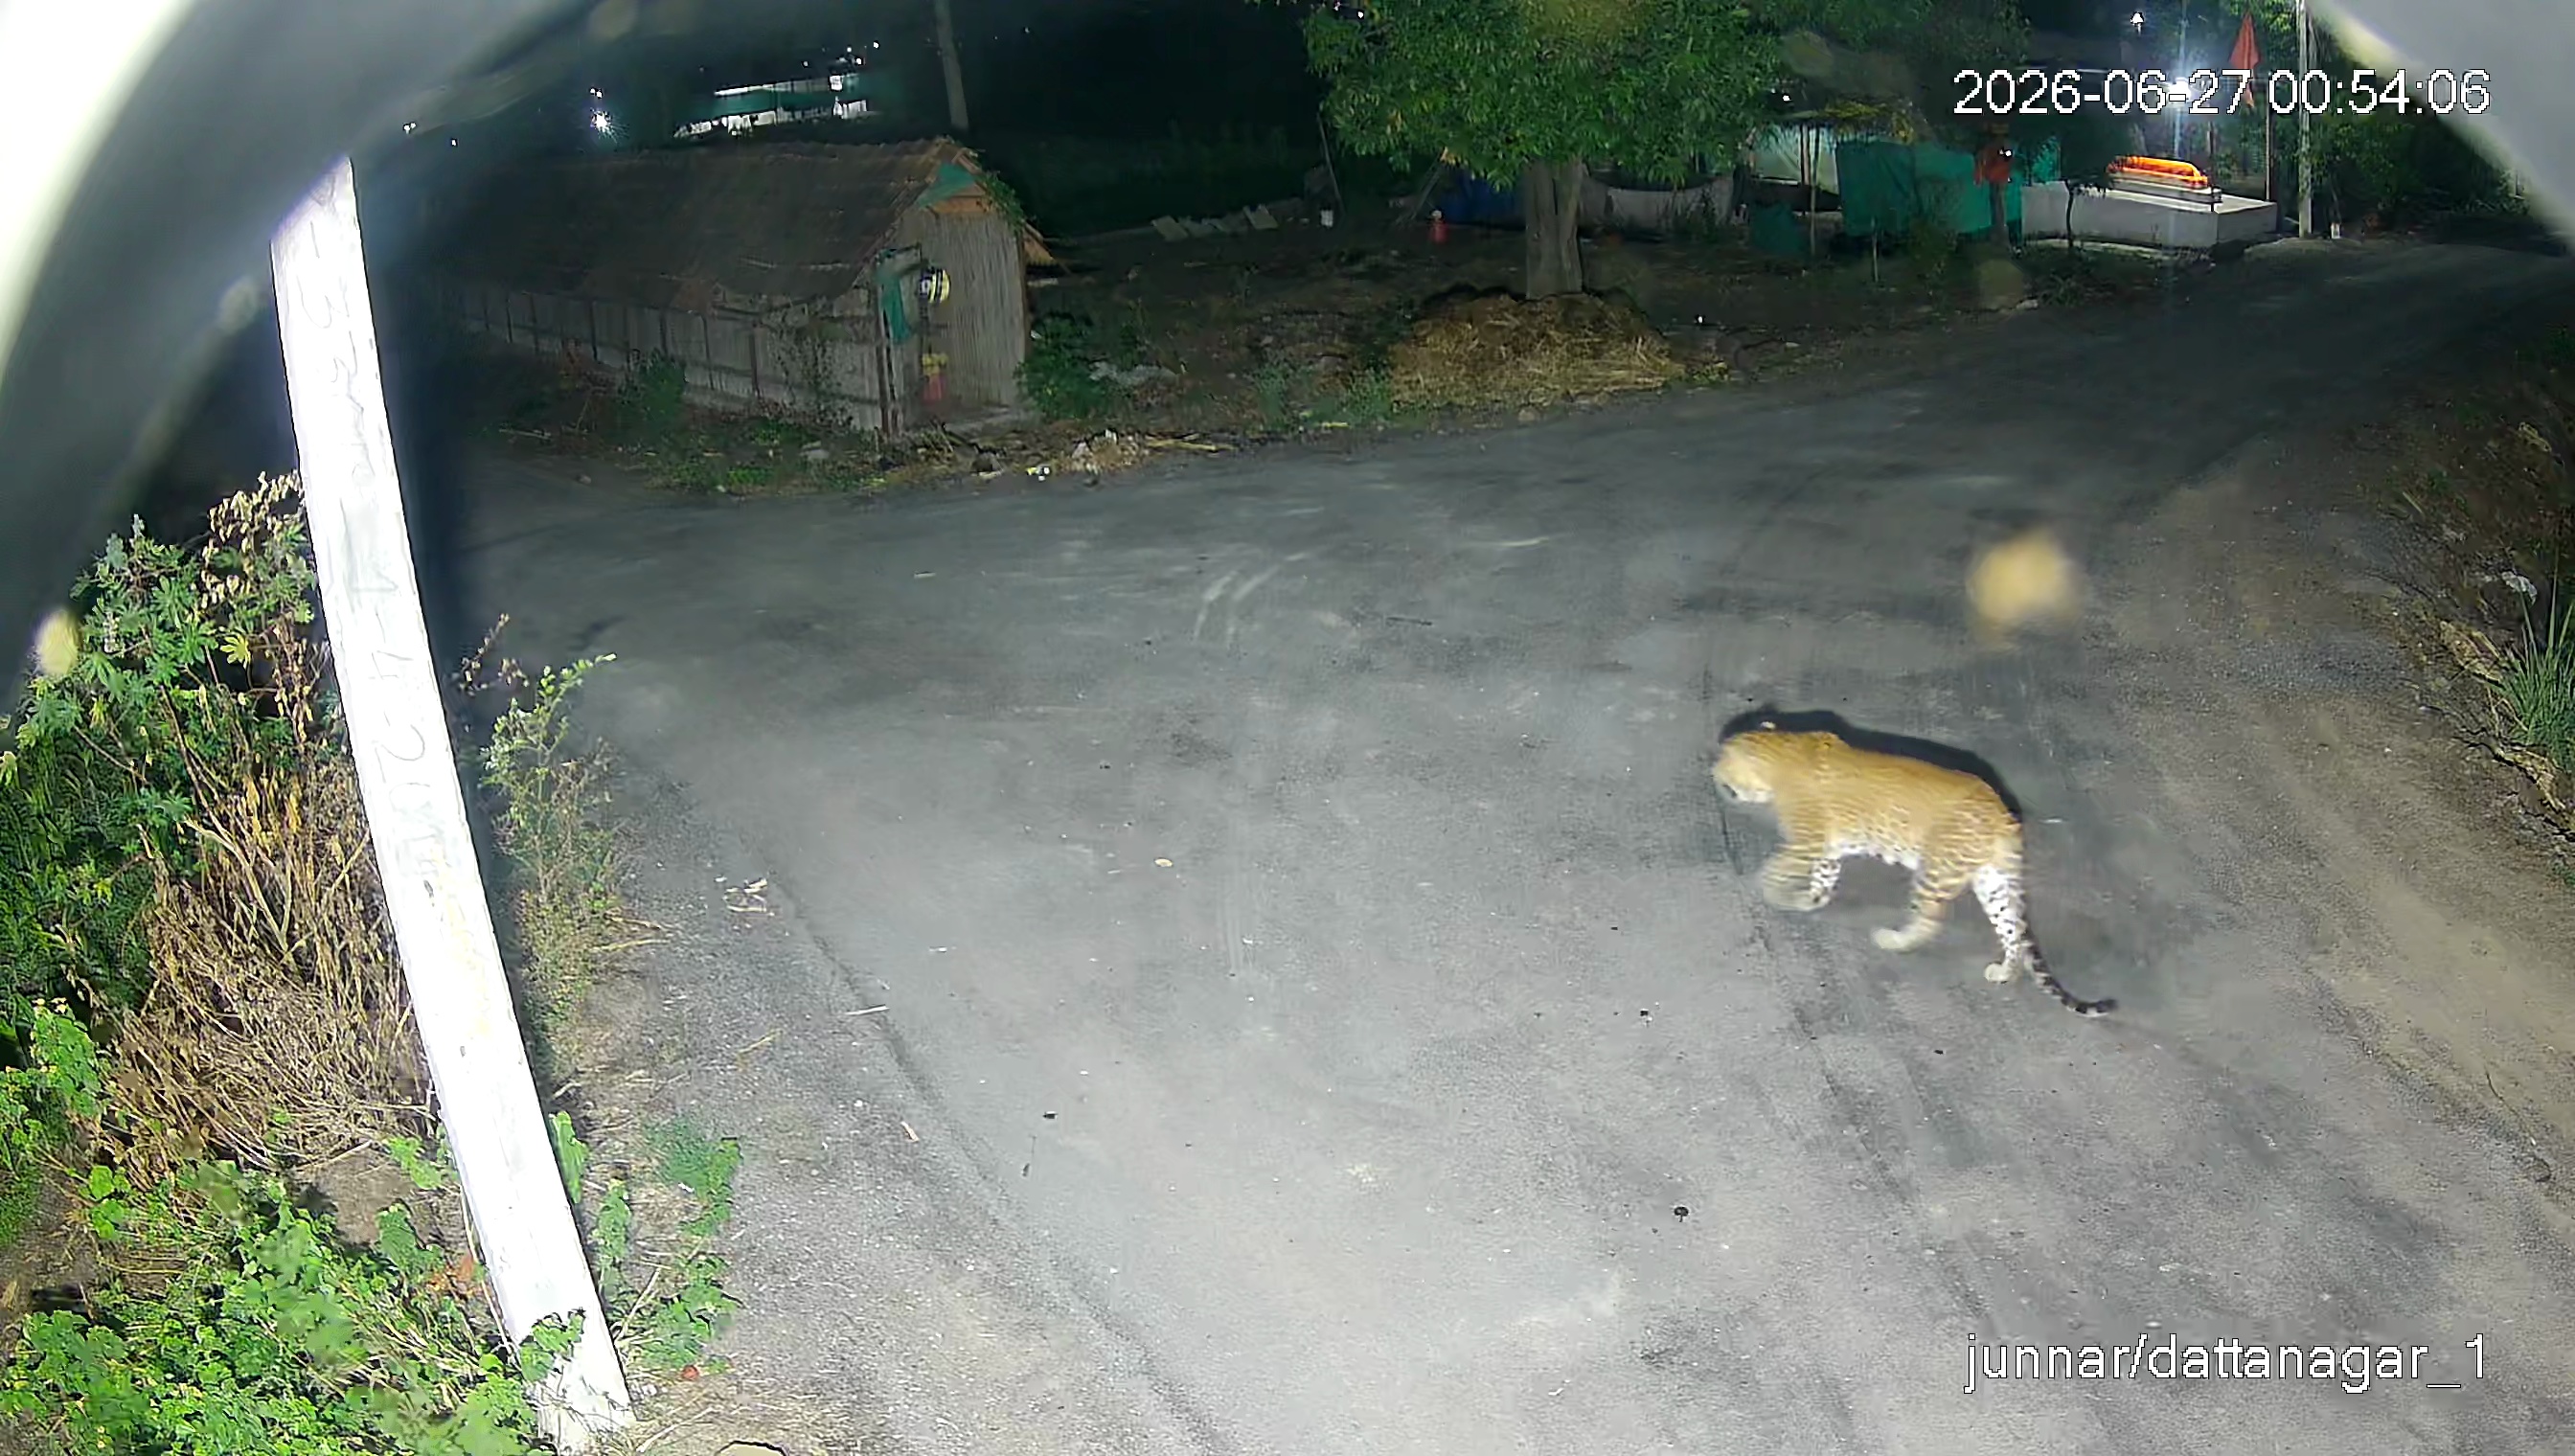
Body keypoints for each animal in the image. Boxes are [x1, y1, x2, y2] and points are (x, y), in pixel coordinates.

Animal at [1711, 721, 2116, 1018]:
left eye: (1723, 763)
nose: (1713, 772)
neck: (1783, 750)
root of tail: (2002, 814)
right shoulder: (1827, 848)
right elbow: (1823, 877)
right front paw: (1809, 900)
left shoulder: (1806, 842)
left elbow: (1778, 869)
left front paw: (1767, 890)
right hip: (1992, 881)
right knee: (2012, 929)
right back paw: (2005, 971)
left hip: (1935, 870)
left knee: (1930, 921)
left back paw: (1894, 940)